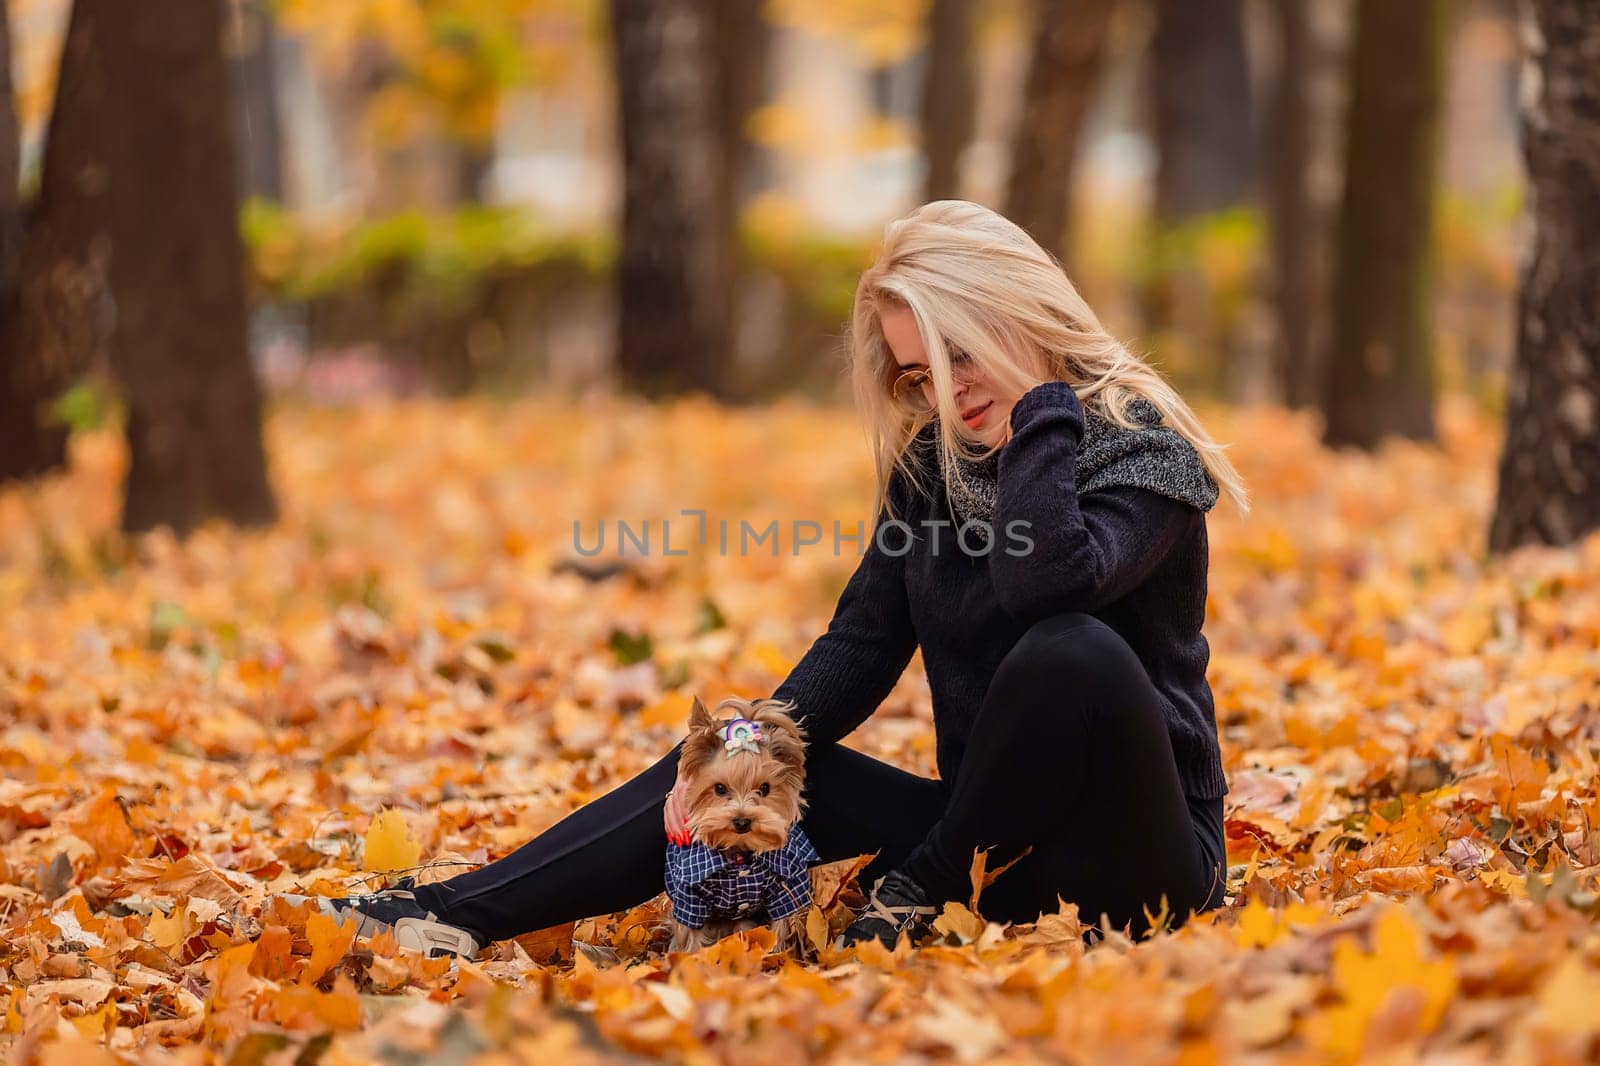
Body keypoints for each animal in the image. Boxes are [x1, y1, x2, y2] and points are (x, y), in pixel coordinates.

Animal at [659, 694, 812, 947]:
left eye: (765, 788)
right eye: (720, 788)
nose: (742, 821)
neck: (739, 853)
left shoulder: (787, 883)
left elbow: (783, 922)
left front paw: (777, 952)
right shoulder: (690, 896)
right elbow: (689, 935)